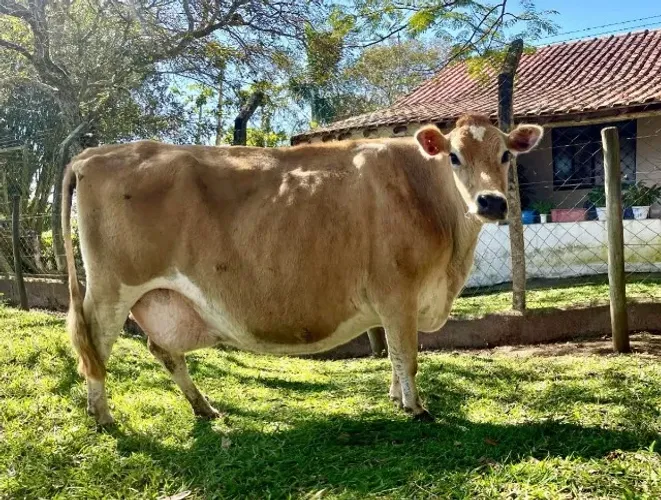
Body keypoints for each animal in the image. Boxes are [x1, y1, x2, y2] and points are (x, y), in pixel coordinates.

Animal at [62, 114, 543, 426]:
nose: (491, 202)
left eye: (505, 155)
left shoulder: (396, 303)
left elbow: (393, 353)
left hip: (157, 297)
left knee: (162, 350)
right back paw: (102, 415)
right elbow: (406, 355)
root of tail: (94, 154)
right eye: (454, 157)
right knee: (96, 347)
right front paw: (416, 408)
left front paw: (395, 398)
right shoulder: (397, 292)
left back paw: (204, 408)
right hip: (110, 290)